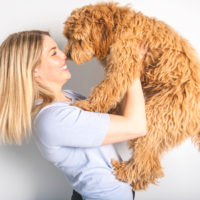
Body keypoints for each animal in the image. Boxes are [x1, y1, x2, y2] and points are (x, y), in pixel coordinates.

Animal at [63, 1, 200, 191]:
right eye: (67, 36)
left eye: (78, 38)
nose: (67, 54)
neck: (116, 26)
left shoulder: (123, 65)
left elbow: (105, 89)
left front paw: (87, 105)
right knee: (153, 164)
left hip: (158, 114)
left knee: (146, 158)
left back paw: (126, 172)